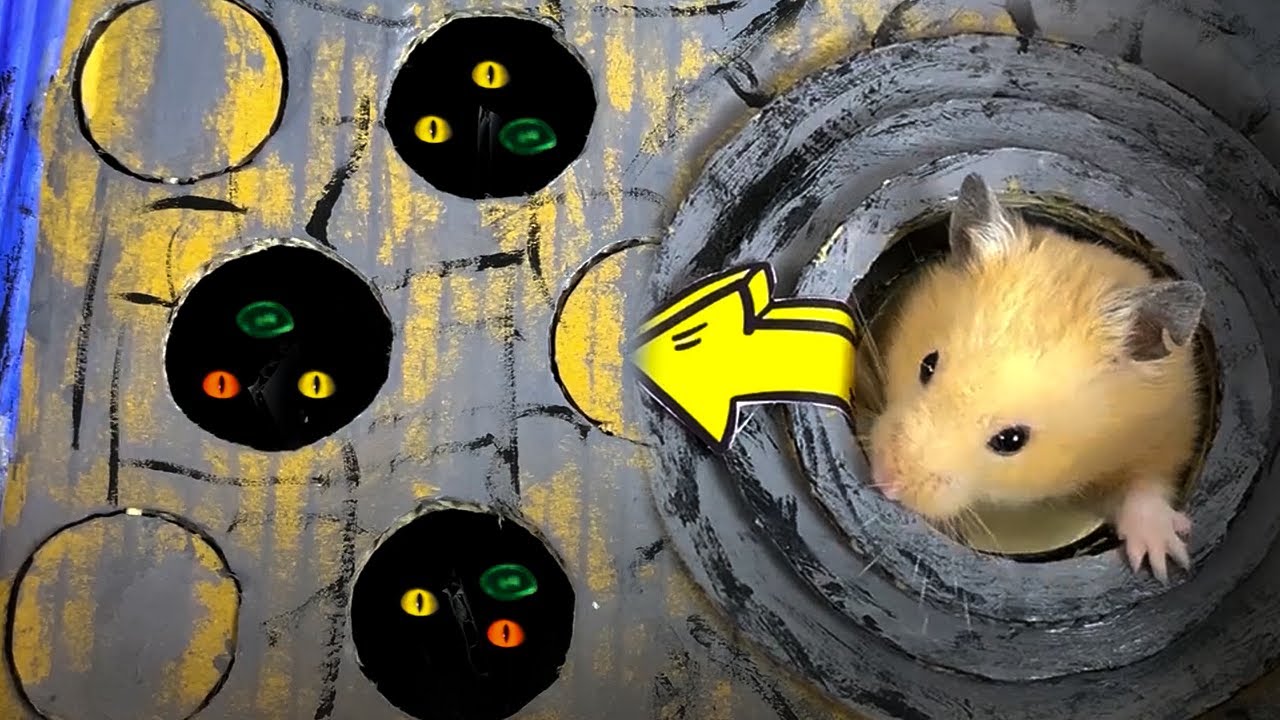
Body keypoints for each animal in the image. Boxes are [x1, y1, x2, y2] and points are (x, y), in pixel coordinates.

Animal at [866, 174, 1205, 583]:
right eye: (927, 365)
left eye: (1011, 440)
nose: (886, 481)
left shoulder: (1169, 428)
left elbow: (1146, 484)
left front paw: (1165, 563)